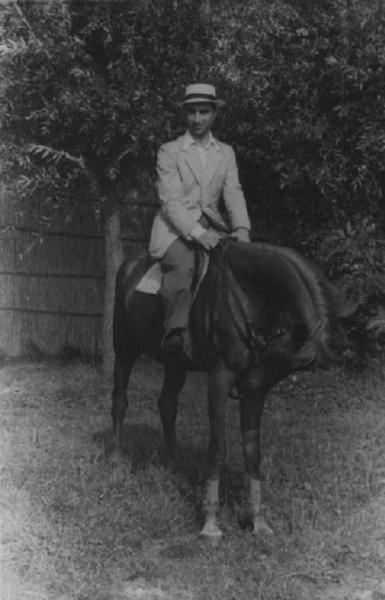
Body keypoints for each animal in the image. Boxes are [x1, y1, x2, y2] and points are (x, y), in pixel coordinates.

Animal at [111, 238, 352, 540]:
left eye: (288, 369)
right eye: (280, 356)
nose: (244, 388)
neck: (245, 294)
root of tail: (130, 264)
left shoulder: (257, 392)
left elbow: (252, 451)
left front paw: (258, 521)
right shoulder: (220, 379)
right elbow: (218, 447)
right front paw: (210, 524)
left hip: (175, 363)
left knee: (167, 406)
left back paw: (177, 470)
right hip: (124, 347)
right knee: (120, 401)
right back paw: (117, 463)